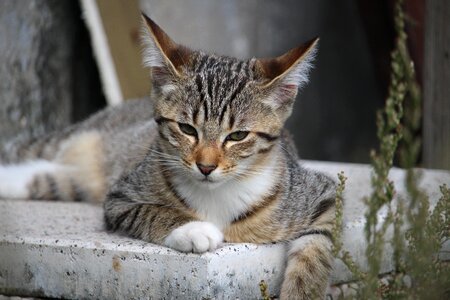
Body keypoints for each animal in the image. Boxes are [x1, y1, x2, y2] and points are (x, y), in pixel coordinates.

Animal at [0, 14, 336, 300]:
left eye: (238, 136)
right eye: (187, 129)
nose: (206, 166)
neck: (218, 194)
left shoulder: (321, 193)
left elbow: (318, 247)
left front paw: (302, 290)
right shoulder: (120, 196)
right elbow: (150, 212)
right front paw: (193, 229)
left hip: (79, 179)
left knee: (49, 178)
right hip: (79, 139)